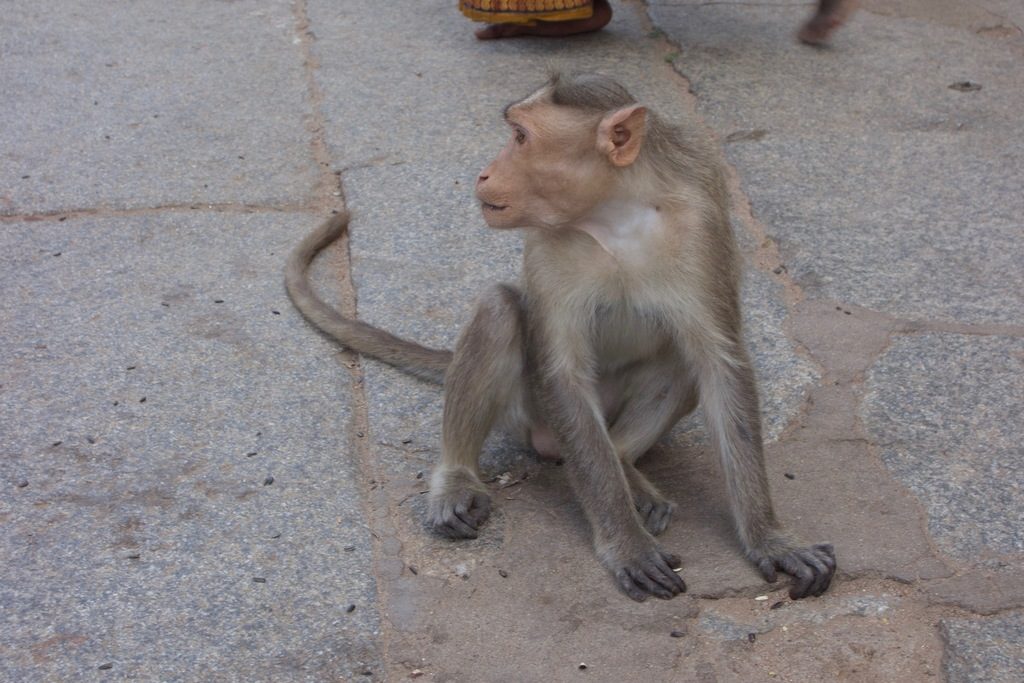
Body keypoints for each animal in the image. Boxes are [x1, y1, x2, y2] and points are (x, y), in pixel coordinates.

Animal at [286, 73, 836, 602]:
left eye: (520, 137)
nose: (484, 173)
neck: (615, 217)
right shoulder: (547, 245)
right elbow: (563, 375)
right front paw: (627, 545)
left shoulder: (702, 225)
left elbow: (721, 363)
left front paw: (769, 537)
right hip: (527, 412)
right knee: (499, 312)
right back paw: (457, 479)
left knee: (677, 362)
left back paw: (626, 465)